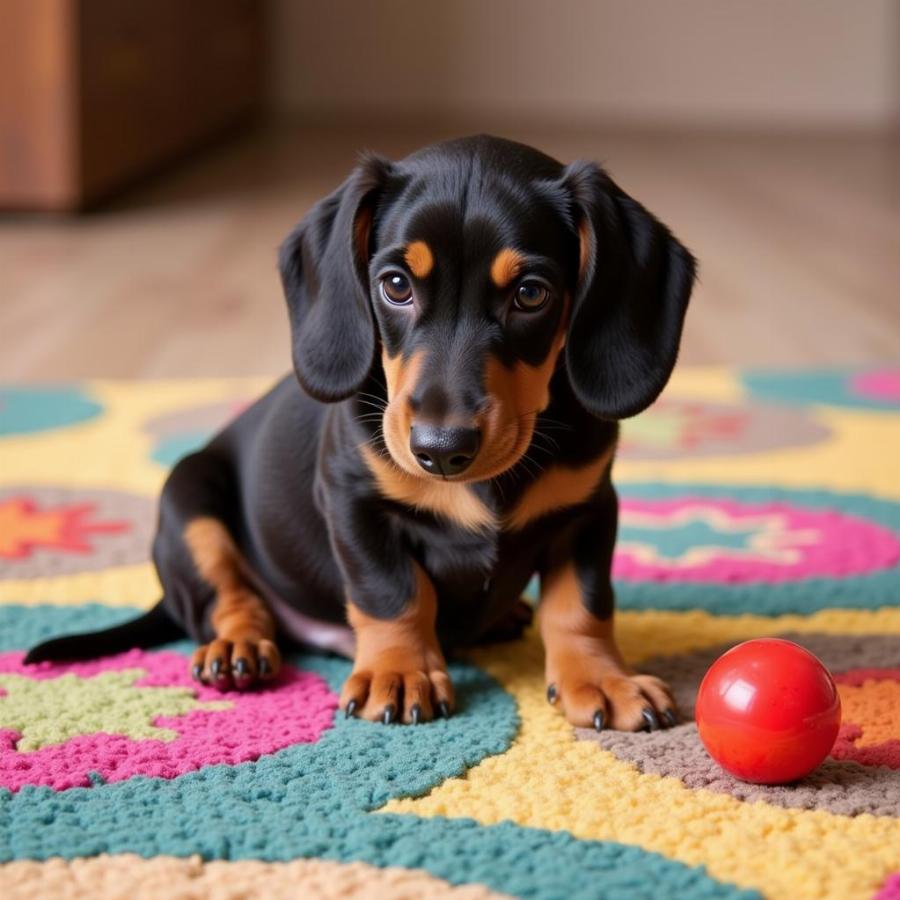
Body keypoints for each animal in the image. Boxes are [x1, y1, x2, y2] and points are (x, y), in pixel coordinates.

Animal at [26, 139, 696, 732]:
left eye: (531, 294)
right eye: (396, 285)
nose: (440, 450)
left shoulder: (588, 509)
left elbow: (581, 605)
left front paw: (602, 679)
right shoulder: (354, 501)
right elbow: (392, 594)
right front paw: (399, 674)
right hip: (187, 498)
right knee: (226, 595)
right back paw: (237, 646)